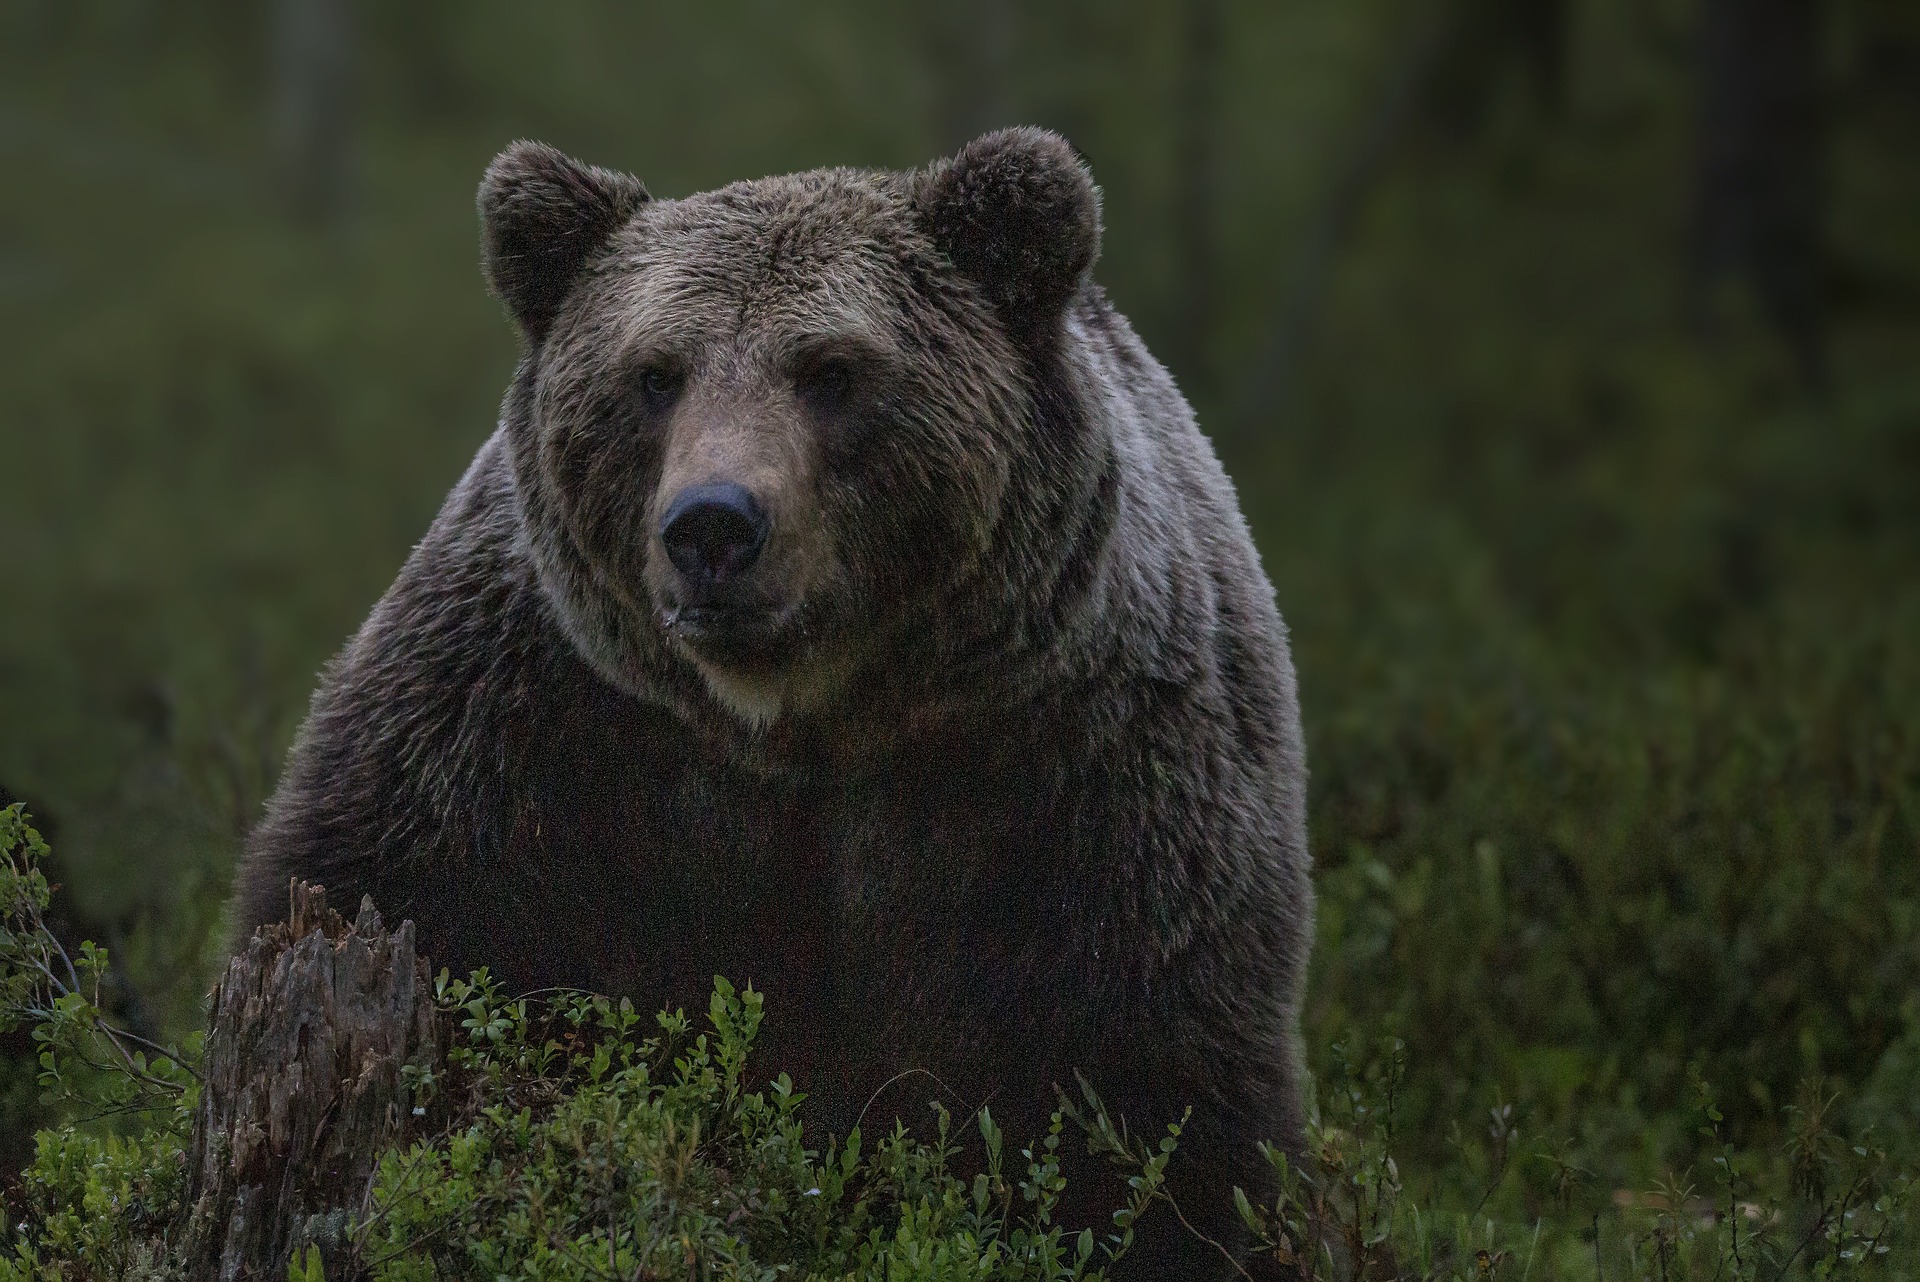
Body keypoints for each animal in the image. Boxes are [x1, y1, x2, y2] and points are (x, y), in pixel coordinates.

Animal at [232, 127, 1313, 1274]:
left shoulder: (1080, 773)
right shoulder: (529, 728)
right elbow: (405, 898)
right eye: (655, 373)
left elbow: (1149, 1091)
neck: (799, 721)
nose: (713, 525)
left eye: (831, 371)